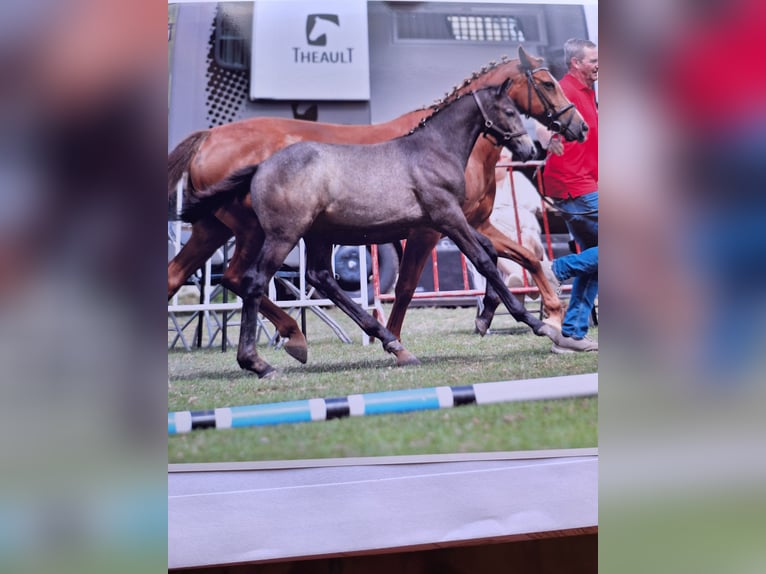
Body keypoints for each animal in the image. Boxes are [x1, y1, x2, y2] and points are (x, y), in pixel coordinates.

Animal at [168, 48, 588, 364]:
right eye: (547, 83)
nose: (578, 127)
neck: (438, 146)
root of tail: (208, 137)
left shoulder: (472, 221)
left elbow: (519, 256)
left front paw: (524, 315)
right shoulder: (434, 225)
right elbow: (415, 283)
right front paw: (545, 321)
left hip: (228, 228)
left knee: (201, 276)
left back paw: (296, 338)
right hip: (262, 231)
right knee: (245, 278)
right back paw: (283, 344)